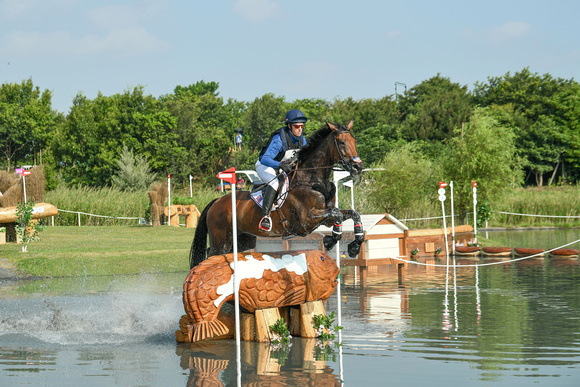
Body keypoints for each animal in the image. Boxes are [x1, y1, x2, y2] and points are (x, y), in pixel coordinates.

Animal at [189, 121, 362, 270]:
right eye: (341, 142)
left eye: (354, 141)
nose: (358, 167)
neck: (310, 179)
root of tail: (217, 201)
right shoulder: (306, 221)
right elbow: (337, 213)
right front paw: (330, 241)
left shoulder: (324, 218)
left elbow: (351, 214)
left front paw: (353, 246)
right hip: (221, 241)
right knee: (211, 254)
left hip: (242, 240)